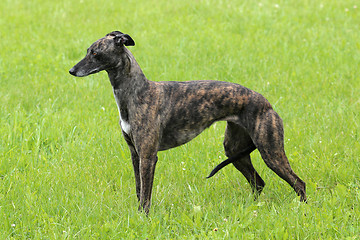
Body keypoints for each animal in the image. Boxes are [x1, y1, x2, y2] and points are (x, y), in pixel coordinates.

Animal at [69, 30, 306, 214]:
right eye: (88, 51)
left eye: (95, 53)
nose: (71, 71)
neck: (137, 92)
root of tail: (267, 103)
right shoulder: (135, 153)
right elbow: (138, 189)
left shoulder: (148, 156)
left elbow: (146, 194)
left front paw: (143, 219)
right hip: (235, 150)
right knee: (258, 183)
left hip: (270, 150)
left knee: (298, 183)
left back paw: (302, 210)